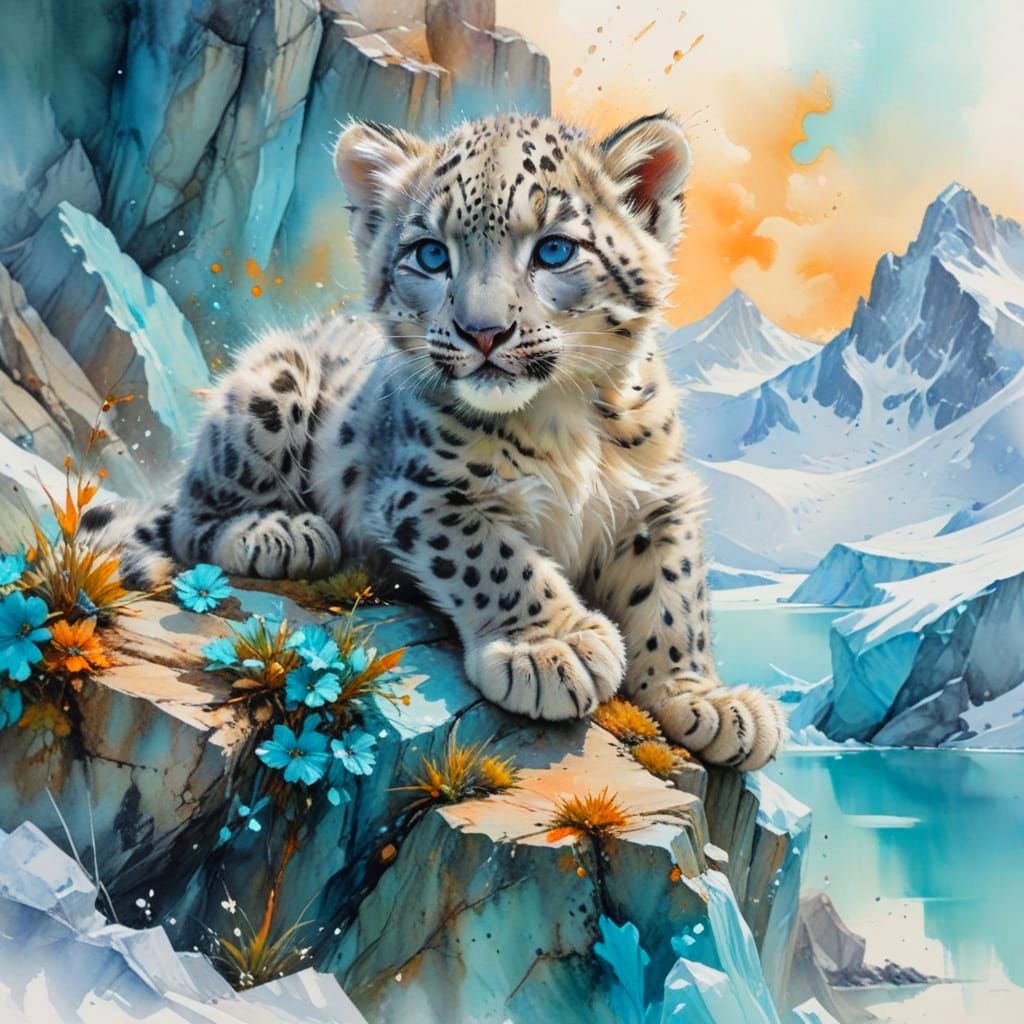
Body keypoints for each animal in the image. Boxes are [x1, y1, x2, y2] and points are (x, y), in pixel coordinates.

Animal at [84, 112, 785, 770]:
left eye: (555, 250)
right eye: (429, 255)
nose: (484, 331)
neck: (566, 421)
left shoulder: (661, 497)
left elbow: (675, 596)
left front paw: (703, 699)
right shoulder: (423, 494)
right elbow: (494, 559)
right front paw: (552, 647)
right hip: (270, 388)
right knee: (193, 517)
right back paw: (279, 534)